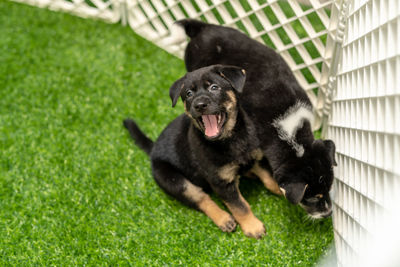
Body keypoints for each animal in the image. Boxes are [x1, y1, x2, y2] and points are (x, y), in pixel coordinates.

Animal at [123, 64, 268, 239]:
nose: (199, 105)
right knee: (201, 198)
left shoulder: (257, 159)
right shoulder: (221, 182)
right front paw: (252, 226)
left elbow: (270, 181)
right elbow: (239, 206)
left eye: (214, 87)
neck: (231, 139)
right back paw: (223, 218)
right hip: (175, 181)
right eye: (189, 94)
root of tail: (153, 150)